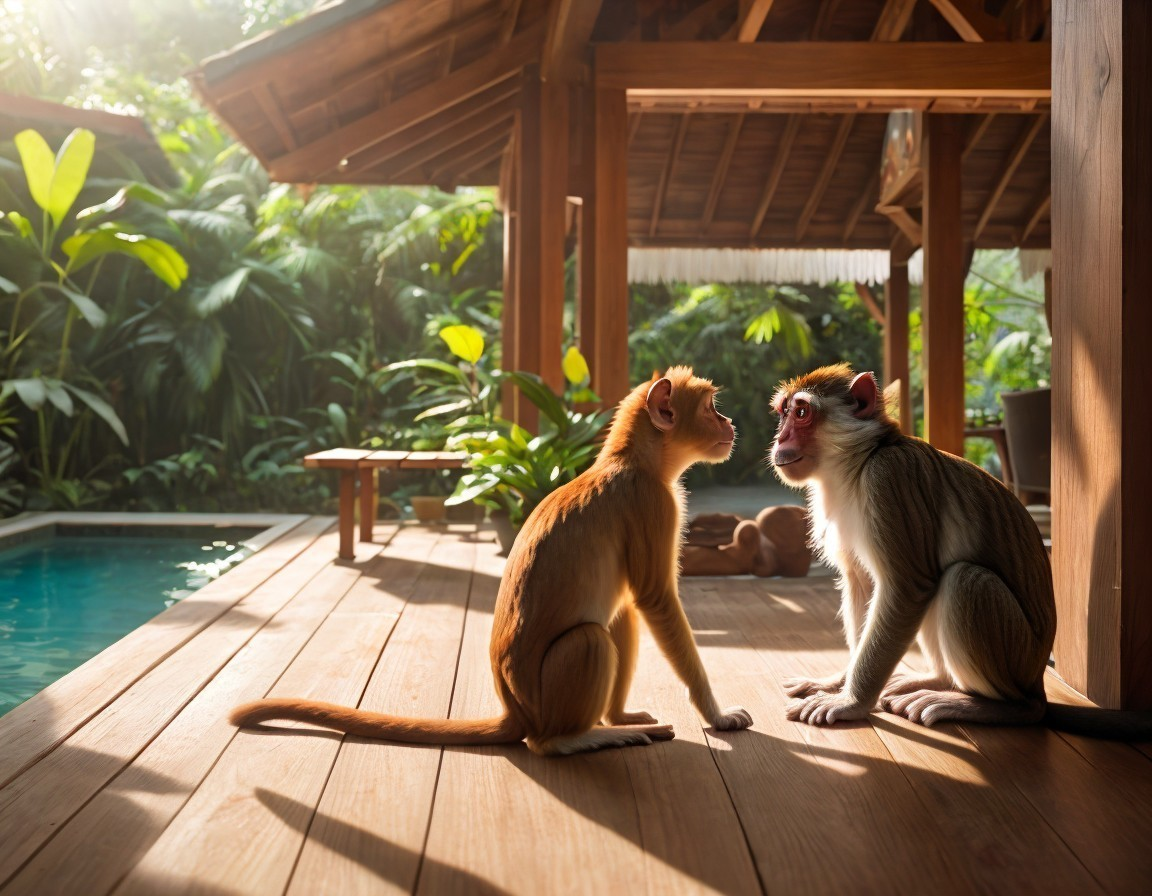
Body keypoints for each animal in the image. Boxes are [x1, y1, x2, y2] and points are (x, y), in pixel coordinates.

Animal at [233, 366, 755, 750]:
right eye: (710, 408)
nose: (730, 424)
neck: (632, 461)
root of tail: (517, 711)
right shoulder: (652, 503)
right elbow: (653, 599)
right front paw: (716, 713)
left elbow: (631, 604)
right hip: (547, 700)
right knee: (590, 641)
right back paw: (569, 740)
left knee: (612, 621)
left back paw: (613, 719)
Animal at [769, 359, 1147, 737]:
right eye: (784, 413)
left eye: (801, 413)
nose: (780, 438)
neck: (857, 465)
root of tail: (1037, 681)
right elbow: (861, 582)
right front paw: (837, 682)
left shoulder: (888, 479)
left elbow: (908, 587)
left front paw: (850, 702)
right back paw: (937, 679)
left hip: (1017, 653)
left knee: (965, 579)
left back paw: (996, 707)